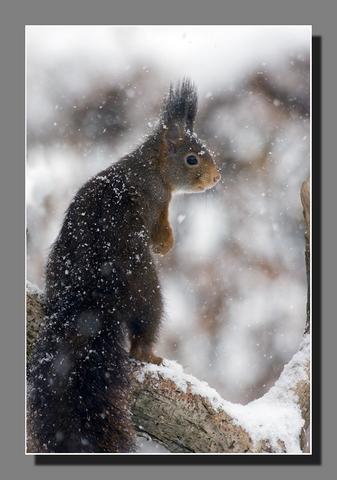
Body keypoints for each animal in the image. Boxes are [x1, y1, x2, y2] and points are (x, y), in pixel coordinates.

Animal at [27, 79, 219, 454]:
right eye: (192, 159)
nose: (216, 178)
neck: (150, 164)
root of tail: (91, 295)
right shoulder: (158, 203)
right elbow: (161, 236)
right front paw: (167, 246)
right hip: (148, 291)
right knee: (143, 335)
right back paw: (152, 355)